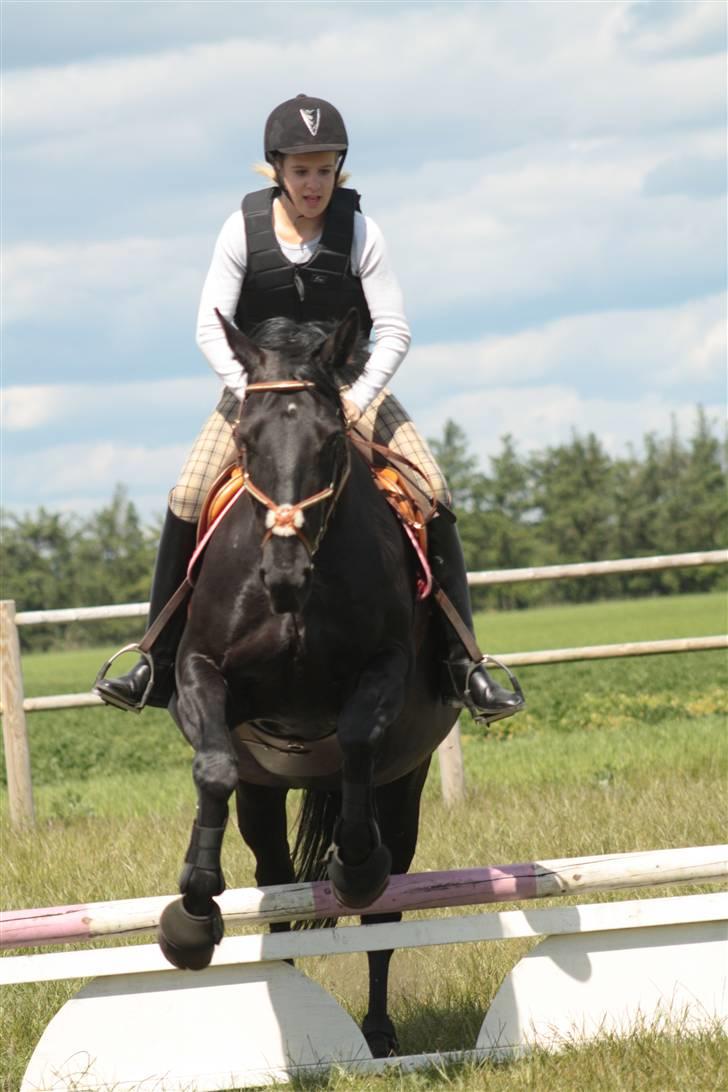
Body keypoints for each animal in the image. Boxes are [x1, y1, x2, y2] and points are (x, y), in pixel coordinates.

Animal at [158, 310, 460, 1057]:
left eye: (329, 441)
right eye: (246, 439)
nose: (284, 573)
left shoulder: (387, 673)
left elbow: (354, 738)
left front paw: (354, 866)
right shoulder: (202, 675)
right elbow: (212, 769)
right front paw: (192, 913)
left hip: (403, 784)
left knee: (386, 906)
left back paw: (378, 1031)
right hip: (265, 792)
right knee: (275, 886)